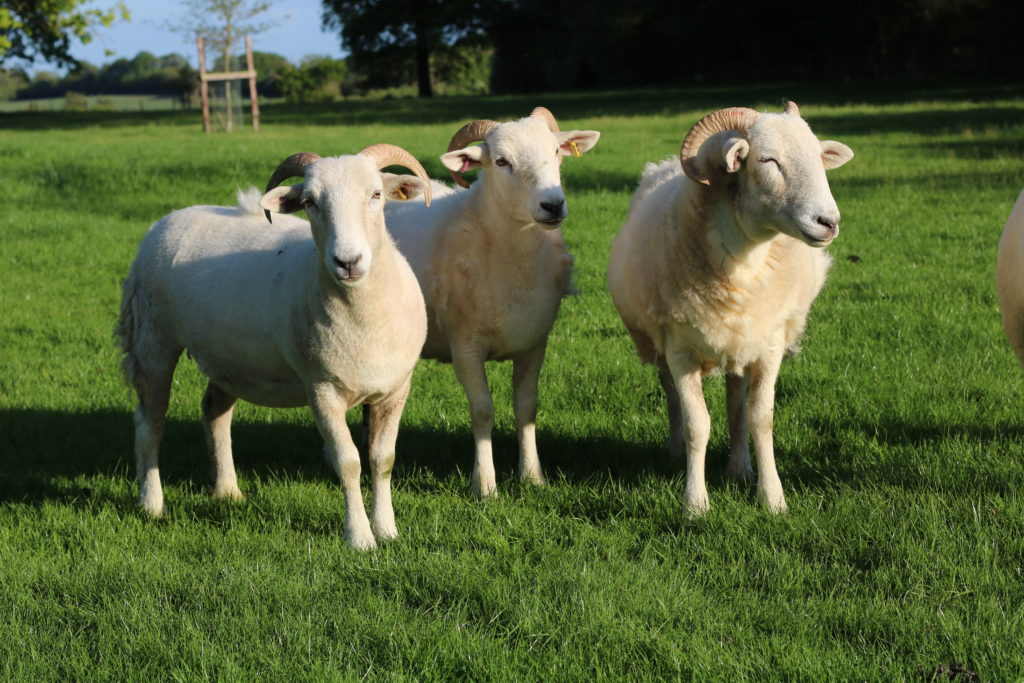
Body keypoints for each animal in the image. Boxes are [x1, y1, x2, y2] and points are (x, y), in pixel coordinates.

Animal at [115, 144, 432, 550]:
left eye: (376, 195)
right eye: (310, 202)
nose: (348, 262)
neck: (364, 316)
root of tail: (168, 219)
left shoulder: (396, 388)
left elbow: (382, 459)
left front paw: (388, 530)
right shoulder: (321, 391)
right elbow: (348, 462)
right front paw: (360, 537)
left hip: (230, 357)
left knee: (214, 412)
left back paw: (227, 491)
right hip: (153, 340)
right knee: (149, 423)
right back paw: (152, 504)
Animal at [383, 107, 601, 498]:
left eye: (556, 152)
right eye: (501, 161)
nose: (553, 205)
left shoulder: (534, 343)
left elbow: (526, 407)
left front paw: (532, 476)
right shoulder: (465, 346)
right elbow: (483, 410)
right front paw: (484, 485)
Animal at [607, 101, 853, 514]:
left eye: (820, 158)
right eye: (768, 160)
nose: (828, 222)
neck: (745, 262)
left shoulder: (769, 345)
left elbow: (760, 419)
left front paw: (773, 498)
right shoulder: (680, 350)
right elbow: (697, 425)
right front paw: (695, 504)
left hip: (742, 340)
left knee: (736, 403)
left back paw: (739, 467)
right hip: (660, 344)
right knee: (670, 394)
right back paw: (675, 453)